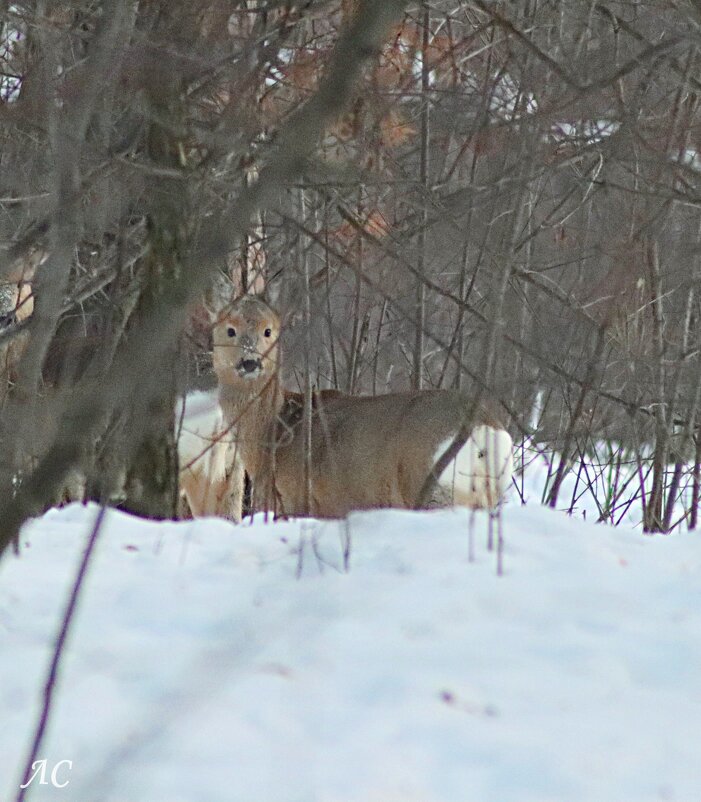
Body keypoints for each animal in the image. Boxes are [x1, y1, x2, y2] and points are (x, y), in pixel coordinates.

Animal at [211, 294, 512, 520]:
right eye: (230, 329)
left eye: (268, 330)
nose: (250, 362)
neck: (275, 431)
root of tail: (485, 428)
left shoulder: (295, 499)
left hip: (430, 486)